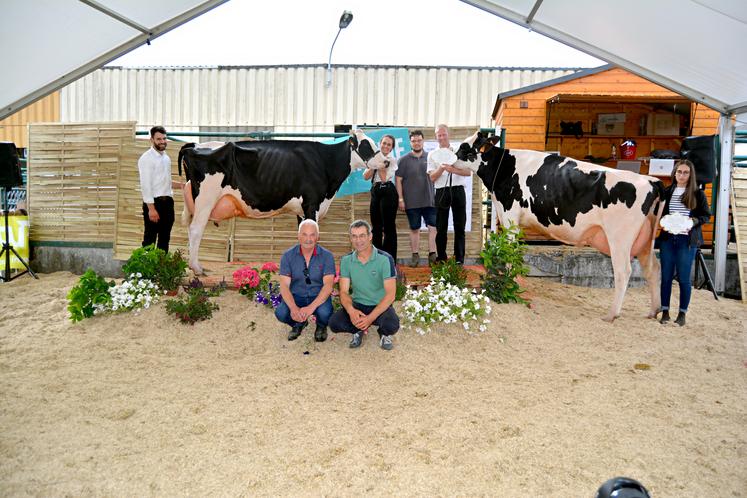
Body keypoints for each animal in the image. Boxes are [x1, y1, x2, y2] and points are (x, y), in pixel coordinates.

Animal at [180, 130, 380, 274]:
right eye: (365, 145)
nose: (385, 161)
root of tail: (194, 145)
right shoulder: (312, 203)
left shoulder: (302, 210)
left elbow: (304, 232)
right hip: (206, 199)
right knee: (196, 229)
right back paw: (197, 268)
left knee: (190, 228)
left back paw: (192, 265)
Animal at [458, 132, 664, 320]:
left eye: (464, 148)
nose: (452, 153)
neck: (504, 167)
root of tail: (650, 180)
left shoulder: (510, 216)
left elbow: (509, 254)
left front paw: (507, 282)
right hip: (645, 240)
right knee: (653, 268)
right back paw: (654, 311)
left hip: (619, 238)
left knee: (623, 271)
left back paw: (611, 314)